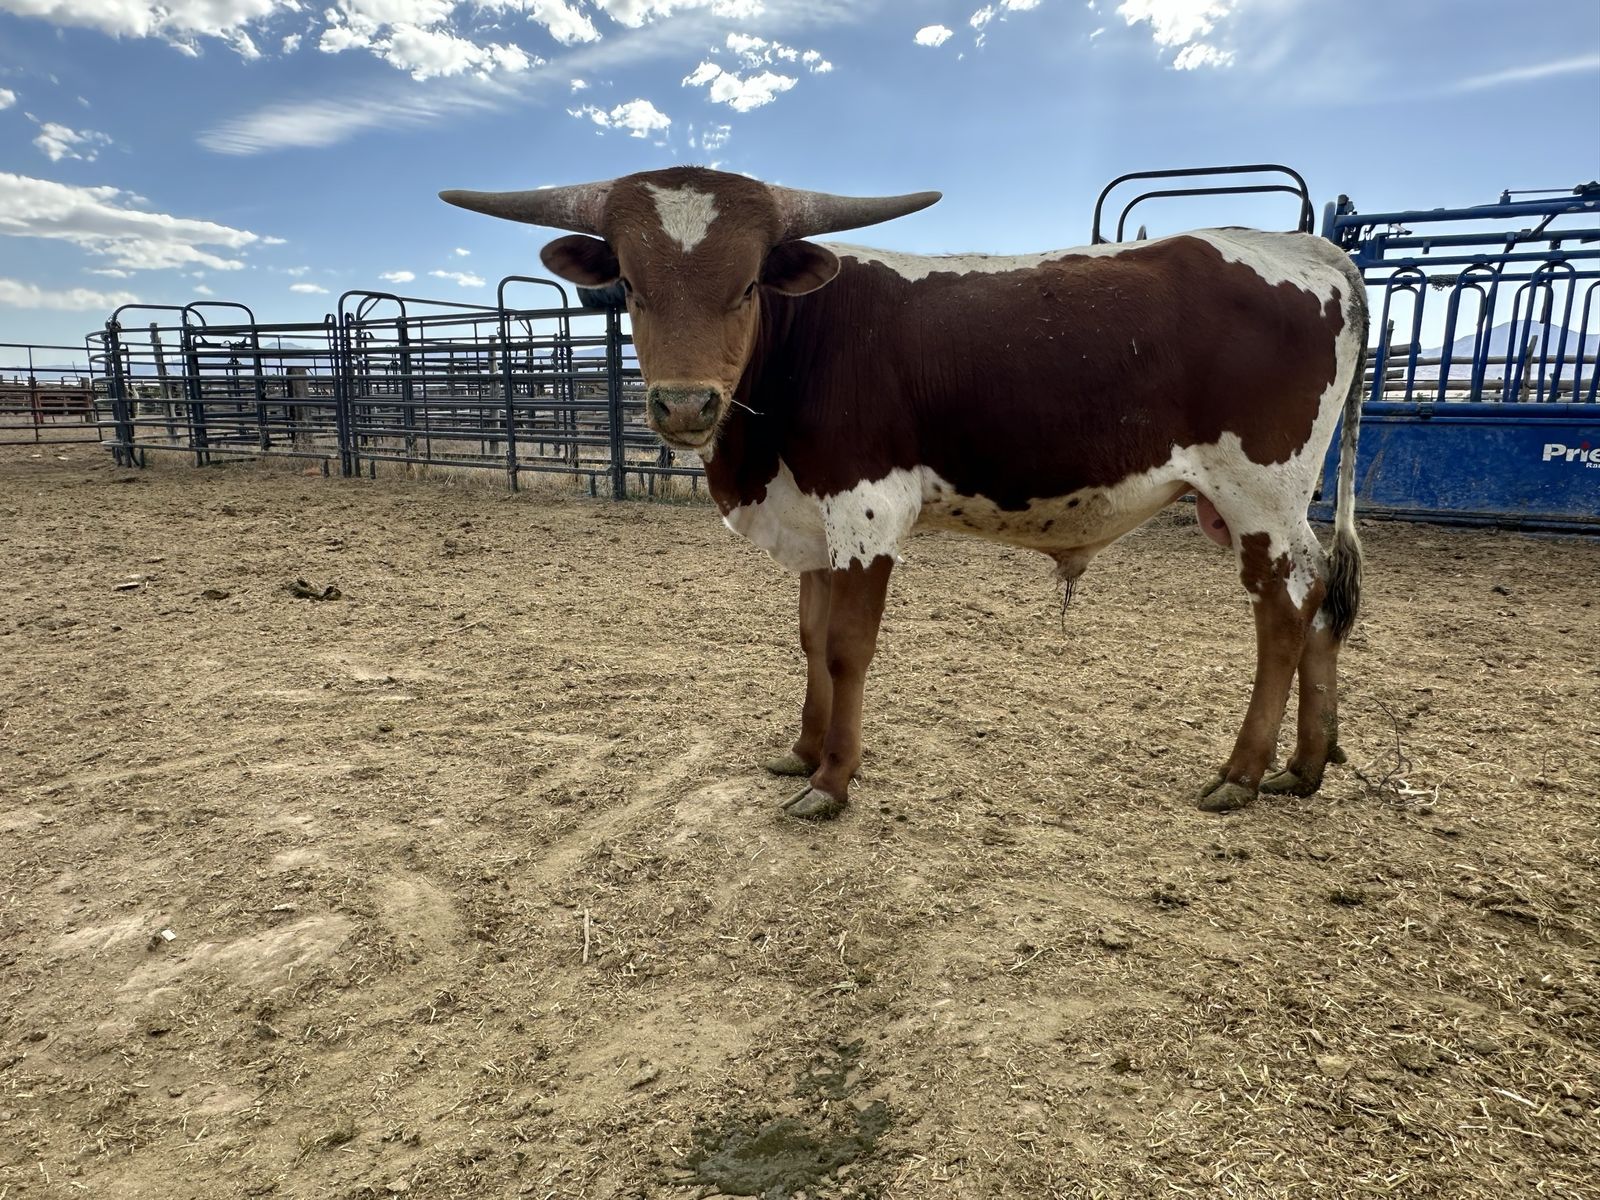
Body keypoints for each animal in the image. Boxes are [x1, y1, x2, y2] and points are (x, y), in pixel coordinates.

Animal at [442, 167, 1368, 820]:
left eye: (747, 285)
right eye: (631, 285)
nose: (684, 405)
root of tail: (1316, 252)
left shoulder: (867, 508)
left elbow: (848, 648)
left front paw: (832, 781)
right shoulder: (811, 517)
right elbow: (810, 639)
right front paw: (802, 748)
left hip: (1260, 494)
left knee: (1285, 607)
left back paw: (1241, 772)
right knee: (1322, 598)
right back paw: (1305, 764)